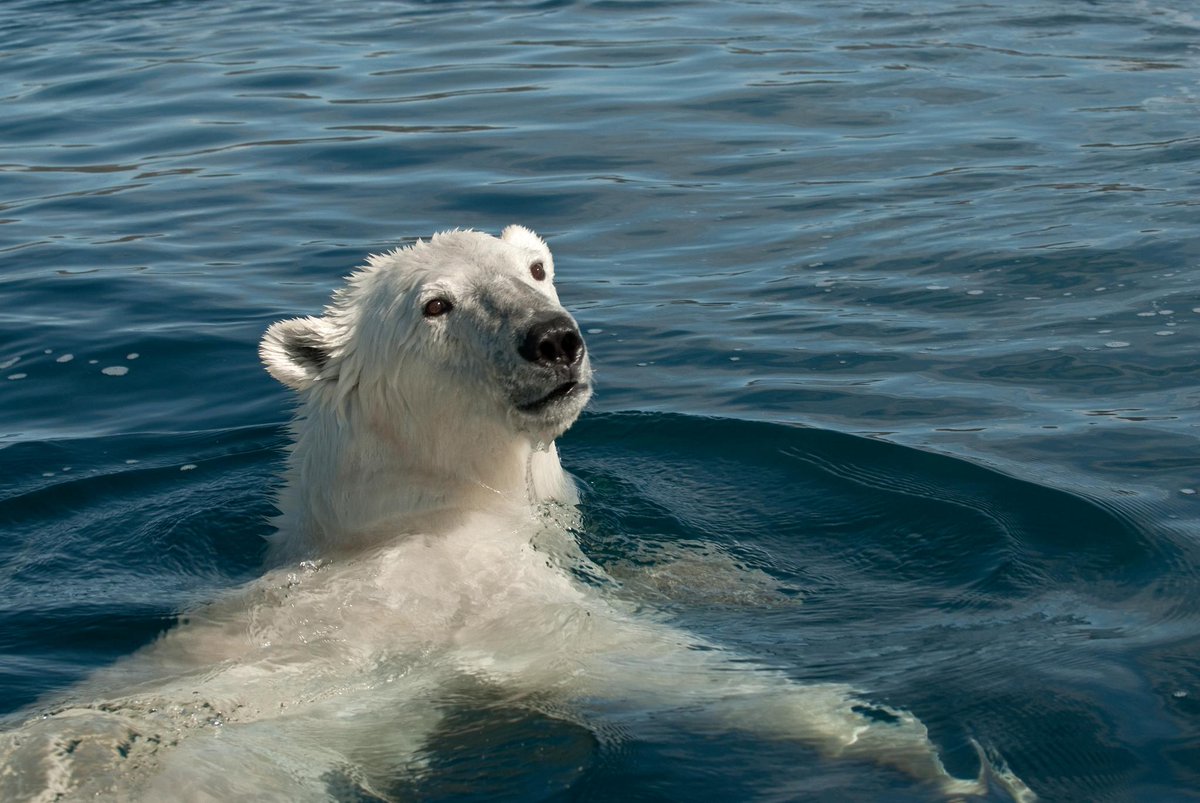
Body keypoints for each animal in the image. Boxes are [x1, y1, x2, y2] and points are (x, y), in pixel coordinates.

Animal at [0, 227, 1031, 801]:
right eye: (435, 304)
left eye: (534, 265)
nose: (553, 339)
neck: (413, 505)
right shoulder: (483, 605)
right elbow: (666, 666)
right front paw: (933, 756)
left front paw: (741, 581)